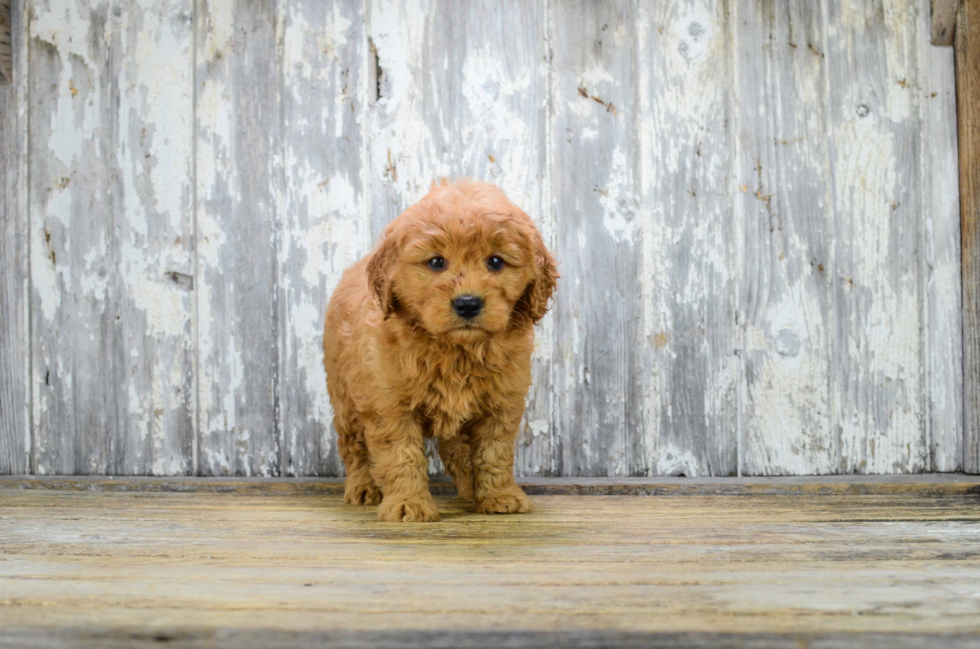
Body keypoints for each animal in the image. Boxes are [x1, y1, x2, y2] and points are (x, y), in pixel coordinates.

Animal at [324, 178, 560, 520]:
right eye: (436, 262)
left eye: (496, 261)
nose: (468, 303)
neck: (456, 350)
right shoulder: (388, 404)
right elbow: (400, 455)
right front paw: (408, 504)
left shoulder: (501, 402)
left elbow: (495, 452)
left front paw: (500, 495)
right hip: (346, 397)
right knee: (353, 445)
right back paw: (363, 487)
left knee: (455, 446)